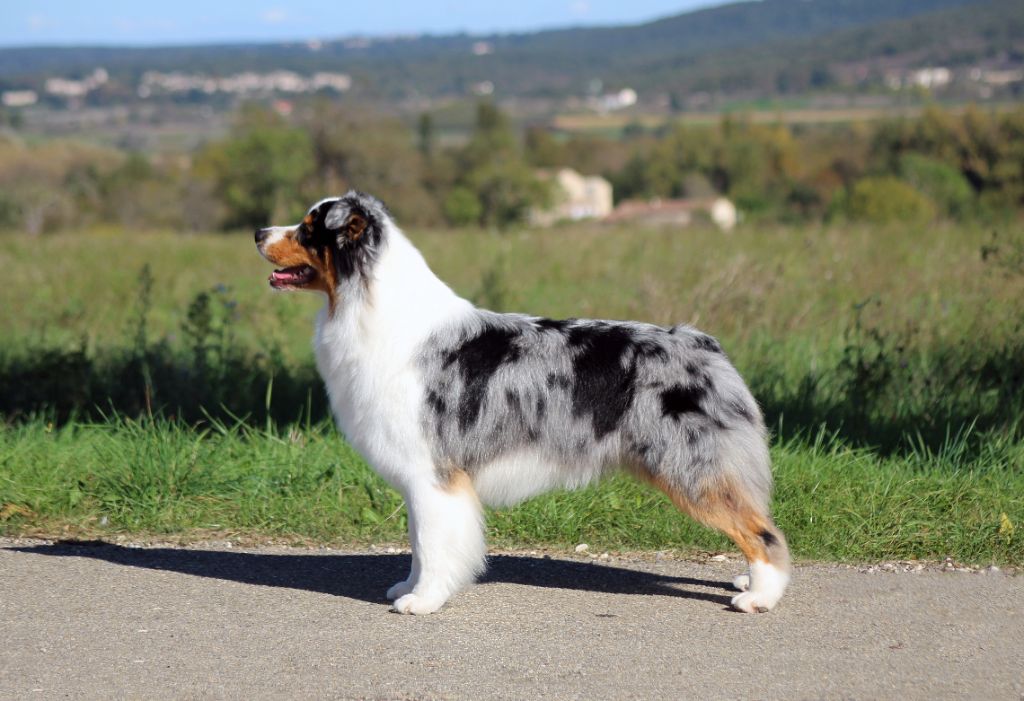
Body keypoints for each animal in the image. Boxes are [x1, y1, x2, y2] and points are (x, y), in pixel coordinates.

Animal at [256, 190, 790, 614]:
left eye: (308, 228)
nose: (258, 231)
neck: (370, 307)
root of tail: (705, 345)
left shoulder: (436, 473)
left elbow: (433, 542)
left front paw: (423, 601)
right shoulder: (421, 476)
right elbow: (418, 543)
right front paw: (408, 586)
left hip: (692, 466)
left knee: (763, 532)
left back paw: (759, 596)